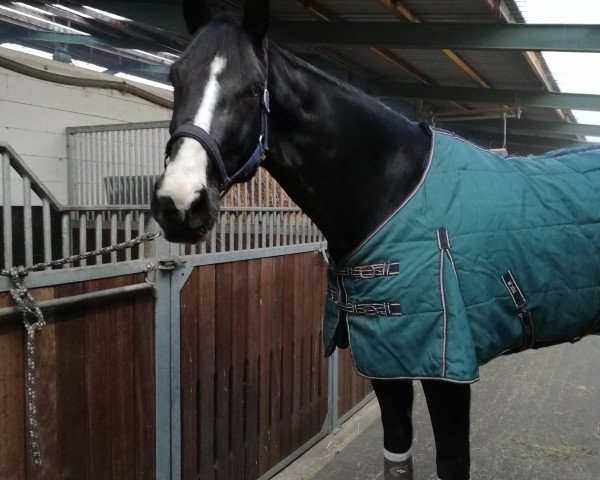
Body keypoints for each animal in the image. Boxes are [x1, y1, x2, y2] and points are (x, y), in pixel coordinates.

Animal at [151, 1, 492, 478]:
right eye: (175, 76)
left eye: (254, 87)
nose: (180, 203)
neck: (395, 192)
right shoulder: (387, 360)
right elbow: (397, 451)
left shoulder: (448, 369)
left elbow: (453, 461)